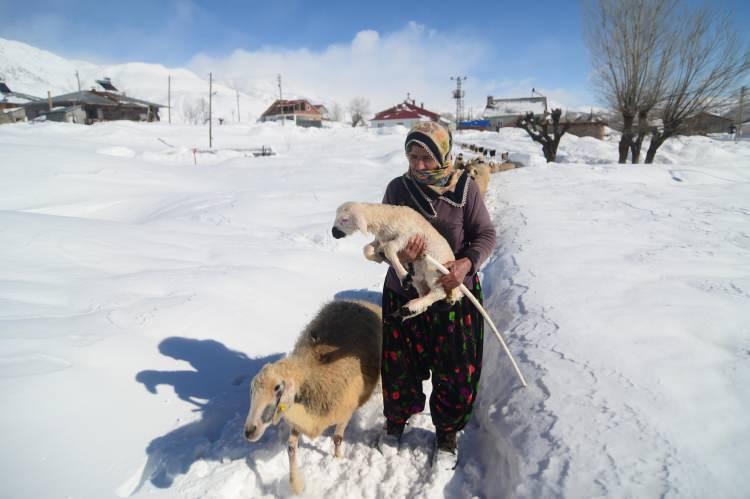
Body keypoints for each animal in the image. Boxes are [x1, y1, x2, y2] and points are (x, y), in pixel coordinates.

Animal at [245, 300, 382, 496]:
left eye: (277, 388)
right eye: (252, 391)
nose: (249, 431)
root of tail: (359, 302)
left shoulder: (344, 413)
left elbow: (337, 439)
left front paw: (338, 459)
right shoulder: (300, 419)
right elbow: (291, 448)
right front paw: (296, 486)